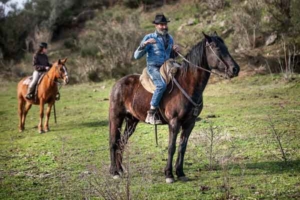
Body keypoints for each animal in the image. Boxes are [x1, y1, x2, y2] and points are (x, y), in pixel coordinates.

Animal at [109, 32, 240, 183]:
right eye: (216, 48)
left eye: (226, 47)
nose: (235, 69)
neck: (187, 85)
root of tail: (118, 83)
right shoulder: (174, 122)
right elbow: (172, 147)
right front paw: (169, 174)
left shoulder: (190, 123)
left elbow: (182, 147)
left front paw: (180, 172)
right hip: (116, 117)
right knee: (113, 142)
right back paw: (114, 172)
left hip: (131, 121)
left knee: (122, 142)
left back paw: (120, 169)